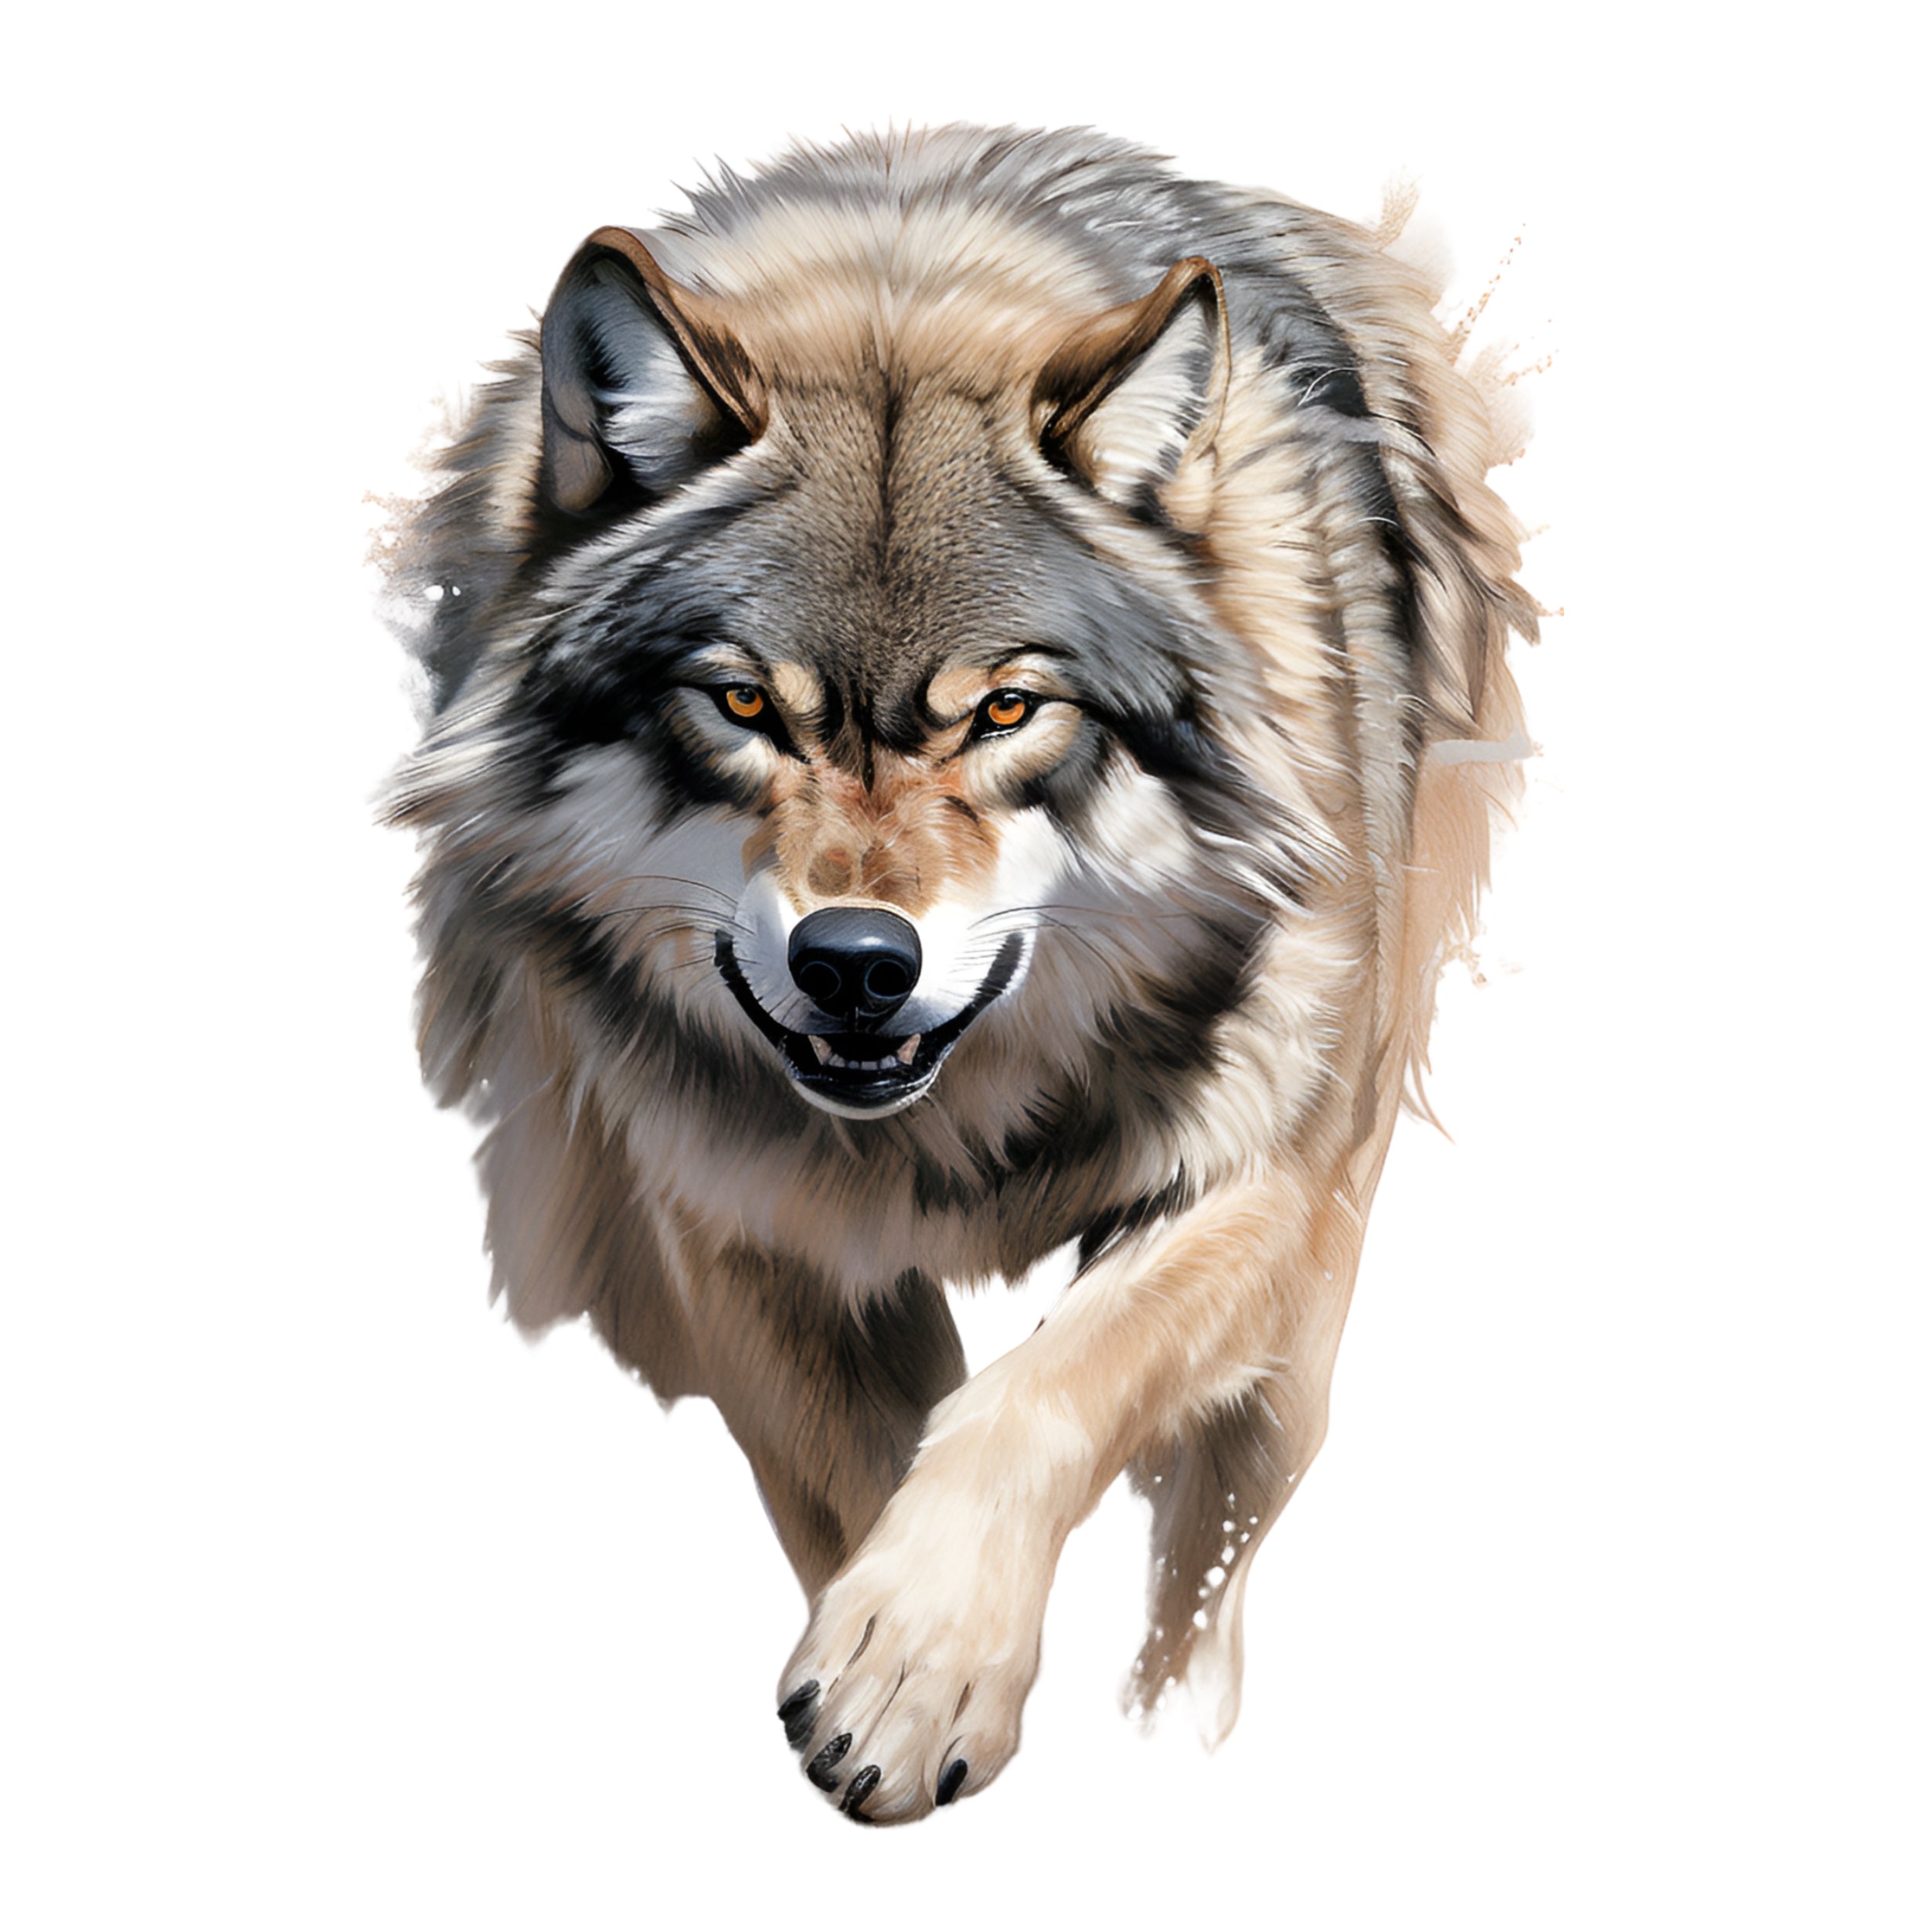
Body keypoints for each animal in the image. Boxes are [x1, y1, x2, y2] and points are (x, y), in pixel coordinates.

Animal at [385, 125, 1535, 1823]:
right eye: (742, 702)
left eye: (1003, 710)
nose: (856, 963)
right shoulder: (728, 1217)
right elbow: (865, 1463)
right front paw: (895, 1666)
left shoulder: (1257, 1178)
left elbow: (1035, 1392)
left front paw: (916, 1660)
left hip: (1293, 1340)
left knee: (1206, 1555)